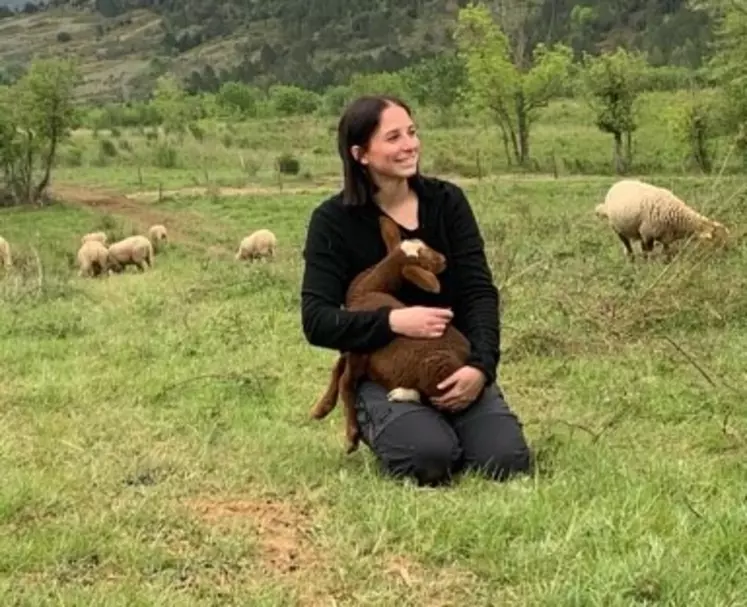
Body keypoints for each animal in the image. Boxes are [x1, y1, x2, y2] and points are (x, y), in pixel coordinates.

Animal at [308, 216, 468, 454]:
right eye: (425, 258)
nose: (443, 260)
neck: (369, 290)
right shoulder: (354, 343)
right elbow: (338, 370)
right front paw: (321, 408)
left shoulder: (360, 351)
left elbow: (346, 381)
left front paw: (351, 436)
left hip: (440, 370)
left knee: (443, 403)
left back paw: (401, 393)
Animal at [596, 177, 732, 260]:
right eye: (717, 242)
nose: (728, 254)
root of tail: (618, 183)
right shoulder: (647, 234)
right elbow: (647, 251)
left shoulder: (665, 236)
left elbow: (667, 252)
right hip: (617, 228)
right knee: (627, 244)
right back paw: (631, 258)